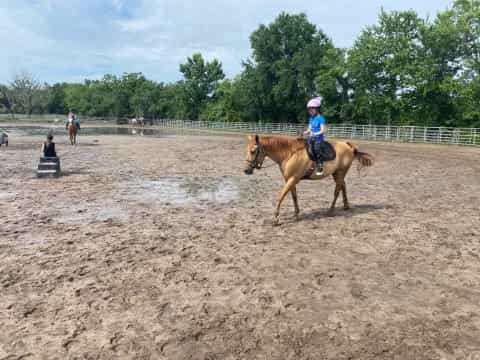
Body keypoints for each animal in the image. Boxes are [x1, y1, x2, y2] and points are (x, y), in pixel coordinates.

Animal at [244, 135, 376, 225]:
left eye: (253, 151)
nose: (246, 170)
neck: (289, 154)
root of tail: (348, 145)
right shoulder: (290, 179)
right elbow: (294, 196)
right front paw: (296, 214)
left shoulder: (292, 179)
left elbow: (281, 196)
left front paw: (276, 218)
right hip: (337, 173)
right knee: (343, 185)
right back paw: (346, 206)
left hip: (340, 172)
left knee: (337, 190)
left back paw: (331, 210)